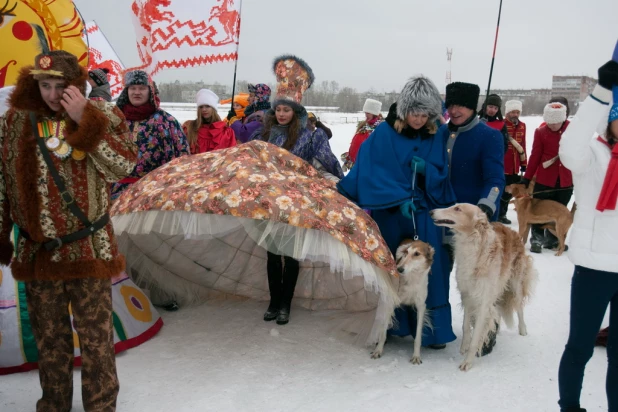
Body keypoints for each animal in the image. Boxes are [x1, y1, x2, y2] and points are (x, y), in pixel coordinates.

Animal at [428, 204, 536, 372]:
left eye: (457, 209)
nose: (431, 212)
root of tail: (513, 232)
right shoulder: (467, 296)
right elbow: (466, 327)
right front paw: (463, 347)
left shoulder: (483, 302)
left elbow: (476, 336)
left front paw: (467, 362)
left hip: (515, 285)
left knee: (519, 308)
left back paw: (523, 330)